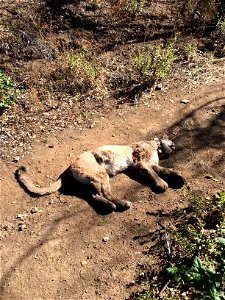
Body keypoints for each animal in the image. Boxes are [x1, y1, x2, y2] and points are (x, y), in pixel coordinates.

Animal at [15, 137, 185, 211]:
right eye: (171, 142)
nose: (174, 147)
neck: (155, 146)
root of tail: (70, 166)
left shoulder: (151, 164)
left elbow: (166, 170)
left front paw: (178, 176)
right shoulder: (142, 164)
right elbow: (155, 174)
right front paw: (162, 184)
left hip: (97, 178)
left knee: (94, 195)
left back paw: (112, 204)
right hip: (101, 174)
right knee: (102, 193)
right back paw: (119, 204)